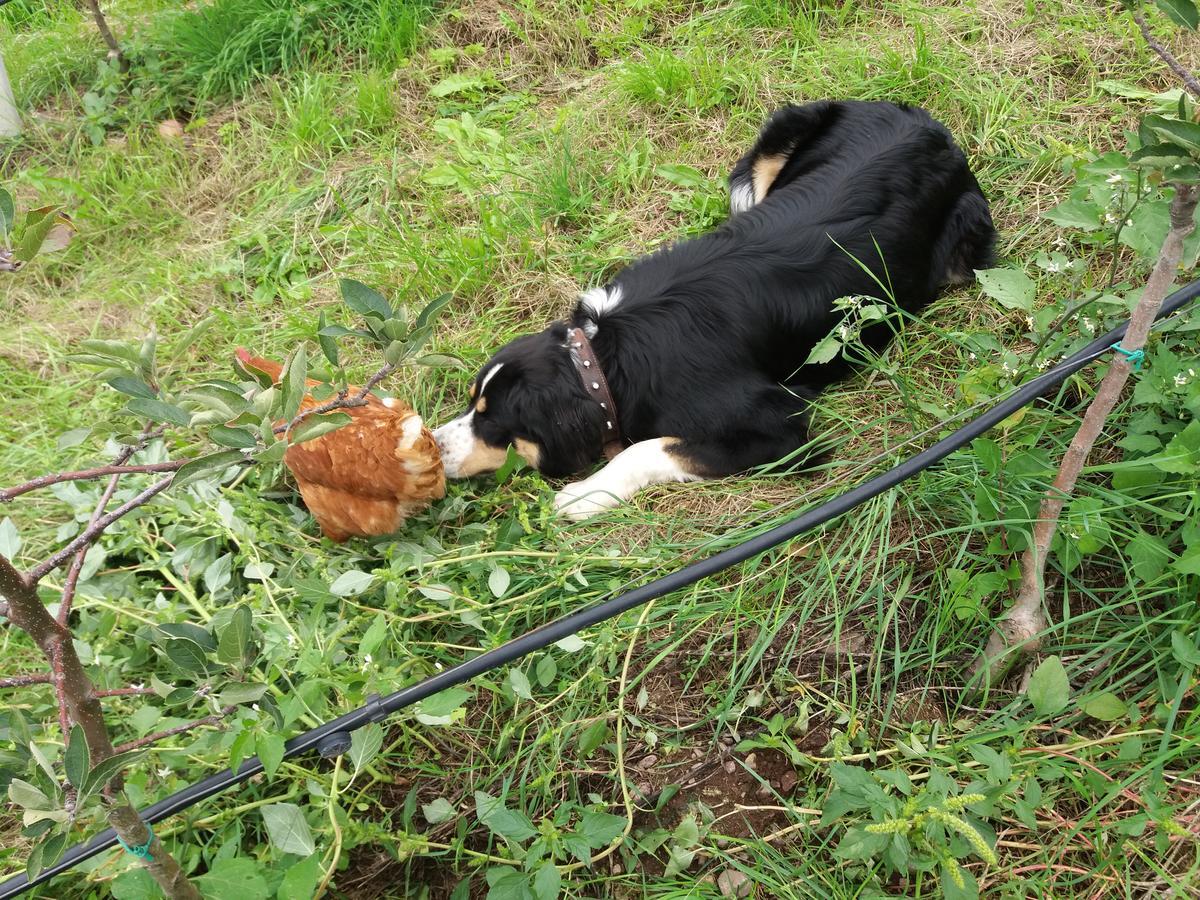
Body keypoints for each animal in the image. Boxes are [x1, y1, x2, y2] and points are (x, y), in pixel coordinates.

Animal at [436, 98, 998, 520]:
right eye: (470, 403)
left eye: (492, 420)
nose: (433, 446)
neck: (601, 360)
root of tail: (931, 128)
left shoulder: (782, 427)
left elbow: (650, 446)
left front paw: (587, 493)